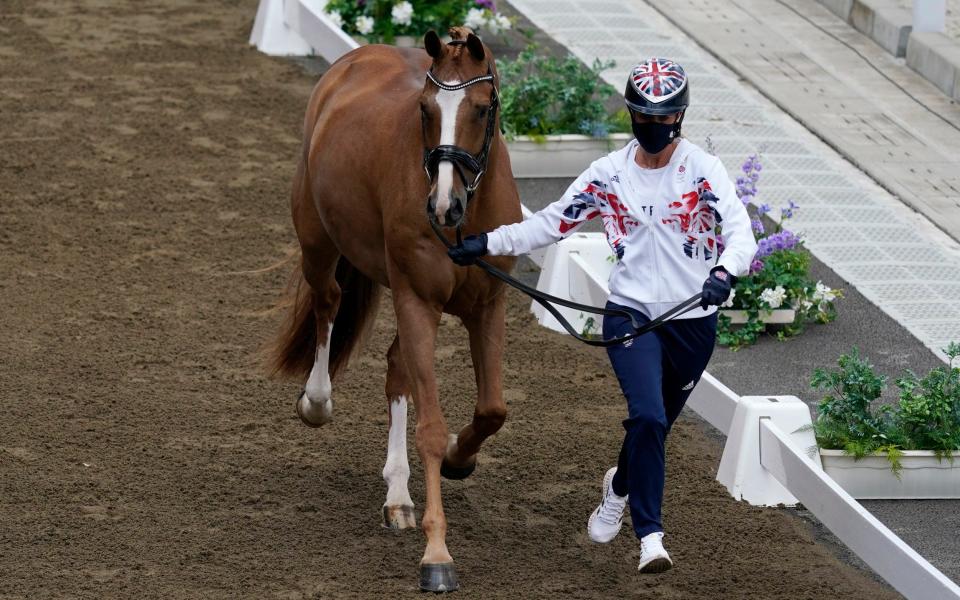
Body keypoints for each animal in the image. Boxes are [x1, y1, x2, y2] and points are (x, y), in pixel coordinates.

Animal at [270, 28, 520, 592]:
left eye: (481, 108)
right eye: (425, 109)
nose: (443, 206)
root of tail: (358, 58)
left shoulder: (488, 306)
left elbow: (491, 409)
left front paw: (459, 460)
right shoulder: (418, 302)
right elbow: (430, 427)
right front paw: (437, 555)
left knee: (396, 368)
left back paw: (399, 496)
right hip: (319, 243)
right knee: (328, 304)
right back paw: (316, 403)